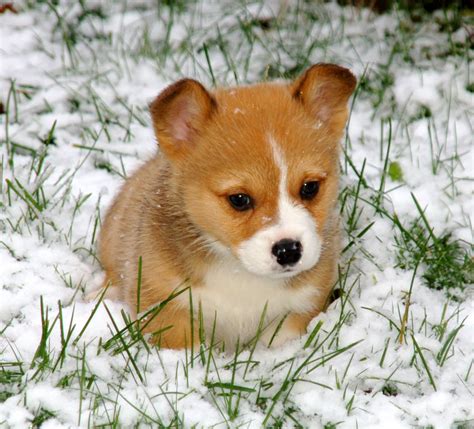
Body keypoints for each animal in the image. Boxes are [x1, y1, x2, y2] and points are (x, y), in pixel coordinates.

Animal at [97, 63, 356, 348]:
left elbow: (276, 343)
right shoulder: (165, 307)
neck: (239, 272)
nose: (288, 250)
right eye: (239, 199)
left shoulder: (301, 307)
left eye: (309, 187)